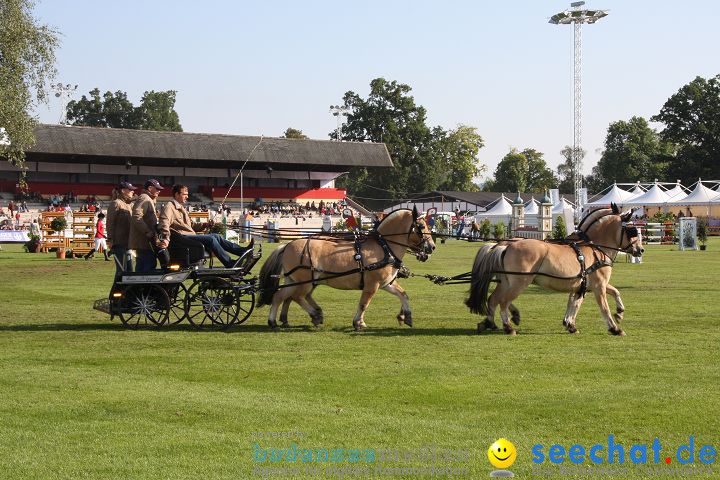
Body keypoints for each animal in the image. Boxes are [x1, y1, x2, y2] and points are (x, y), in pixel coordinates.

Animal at [260, 208, 438, 332]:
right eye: (421, 225)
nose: (432, 247)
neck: (384, 247)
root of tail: (287, 245)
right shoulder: (372, 285)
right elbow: (364, 304)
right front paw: (358, 322)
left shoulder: (386, 283)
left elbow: (403, 294)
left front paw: (406, 316)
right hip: (304, 281)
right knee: (297, 296)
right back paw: (314, 315)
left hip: (294, 280)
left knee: (280, 296)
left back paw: (275, 321)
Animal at [464, 204, 644, 336]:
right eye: (632, 230)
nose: (640, 250)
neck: (594, 248)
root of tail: (506, 245)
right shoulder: (599, 286)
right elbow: (604, 307)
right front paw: (615, 328)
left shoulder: (583, 285)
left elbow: (578, 302)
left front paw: (571, 324)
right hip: (519, 283)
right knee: (503, 301)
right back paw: (508, 326)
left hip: (506, 282)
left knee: (493, 299)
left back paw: (489, 322)